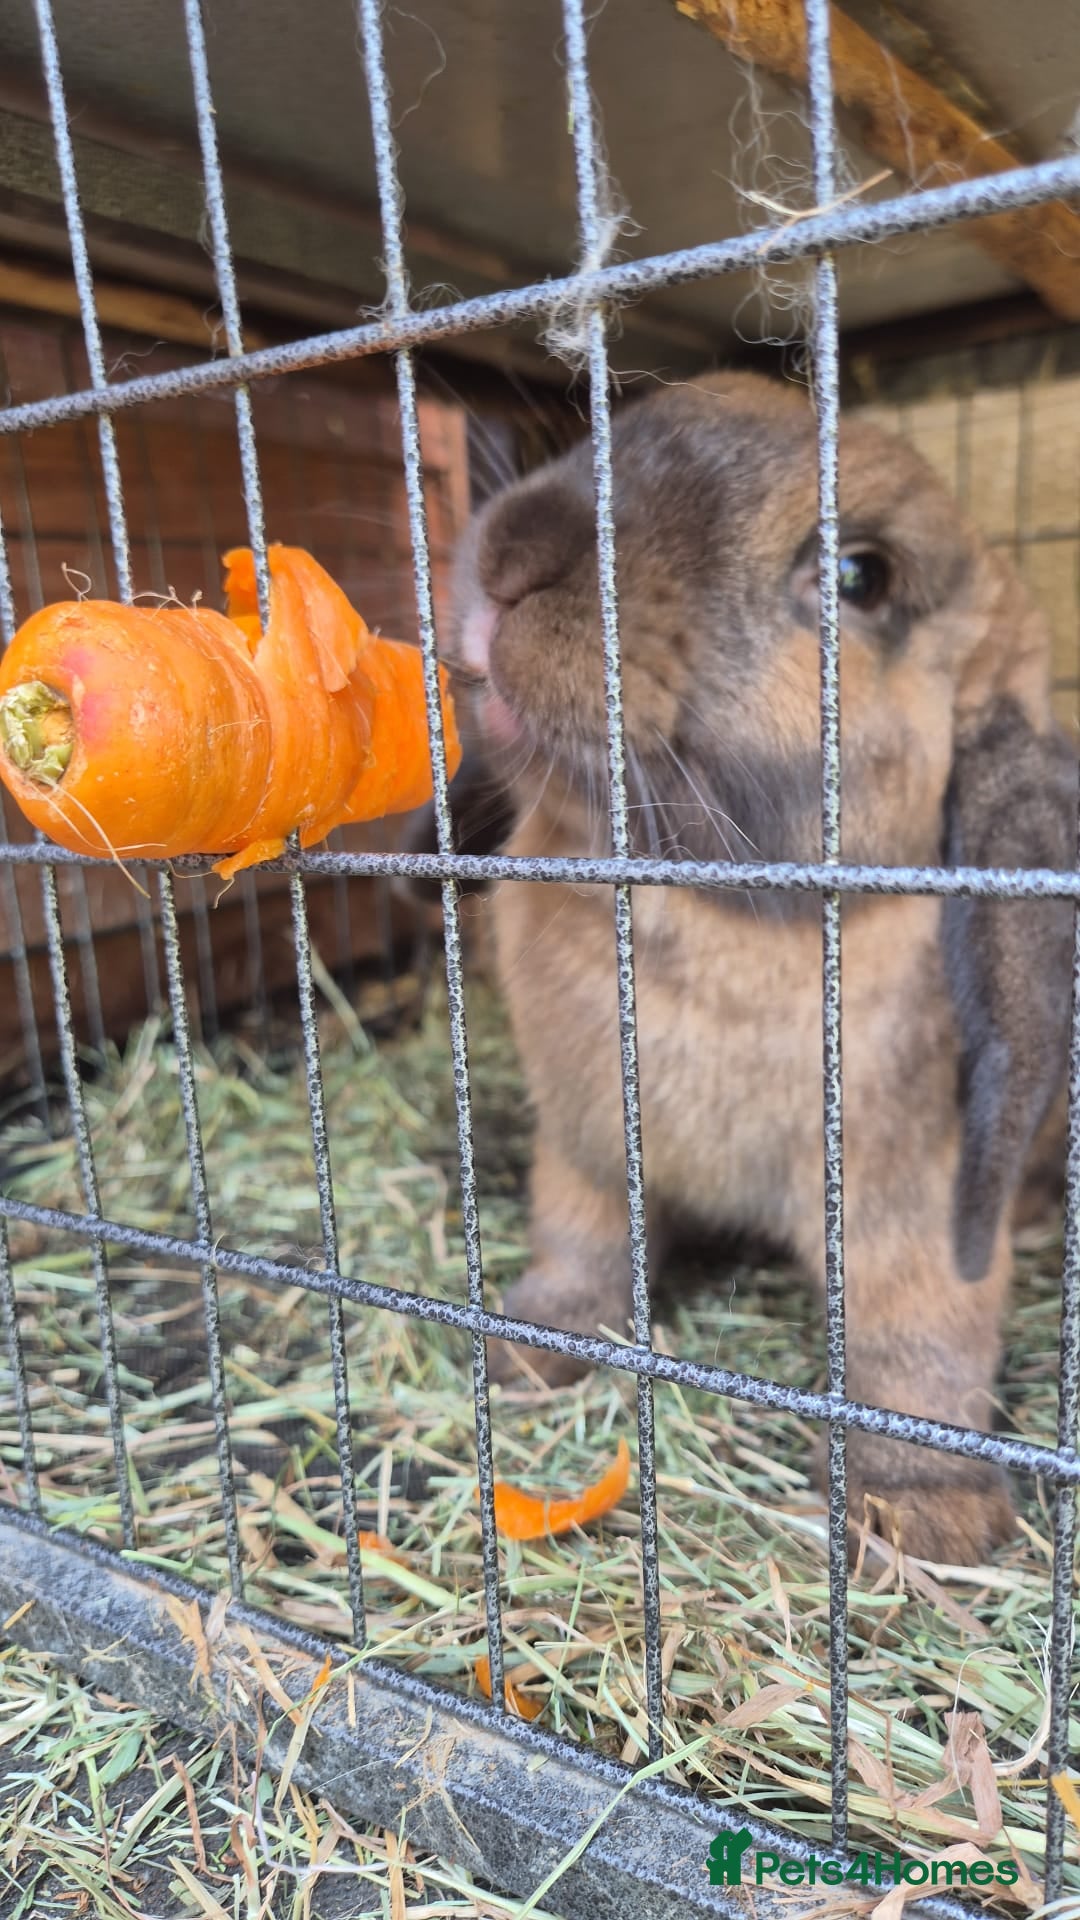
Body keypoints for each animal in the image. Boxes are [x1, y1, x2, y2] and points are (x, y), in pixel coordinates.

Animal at [443, 369, 1076, 1567]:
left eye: (859, 576)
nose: (514, 555)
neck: (703, 923)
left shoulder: (907, 1210)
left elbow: (919, 1336)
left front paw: (927, 1517)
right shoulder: (586, 1151)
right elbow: (580, 1245)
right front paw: (529, 1348)